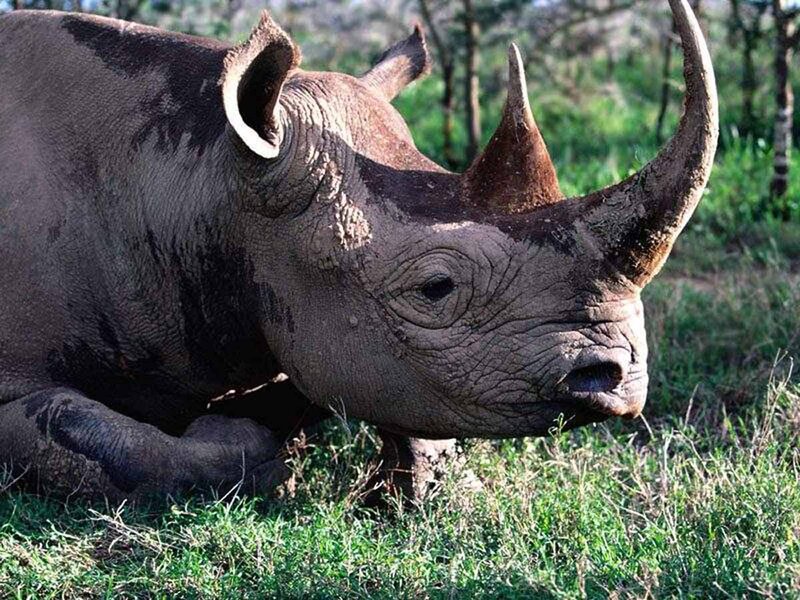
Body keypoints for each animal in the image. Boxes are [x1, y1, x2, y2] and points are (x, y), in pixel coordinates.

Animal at [0, 0, 717, 502]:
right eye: (434, 288)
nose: (620, 380)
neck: (206, 174)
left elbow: (393, 386)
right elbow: (102, 442)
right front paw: (247, 441)